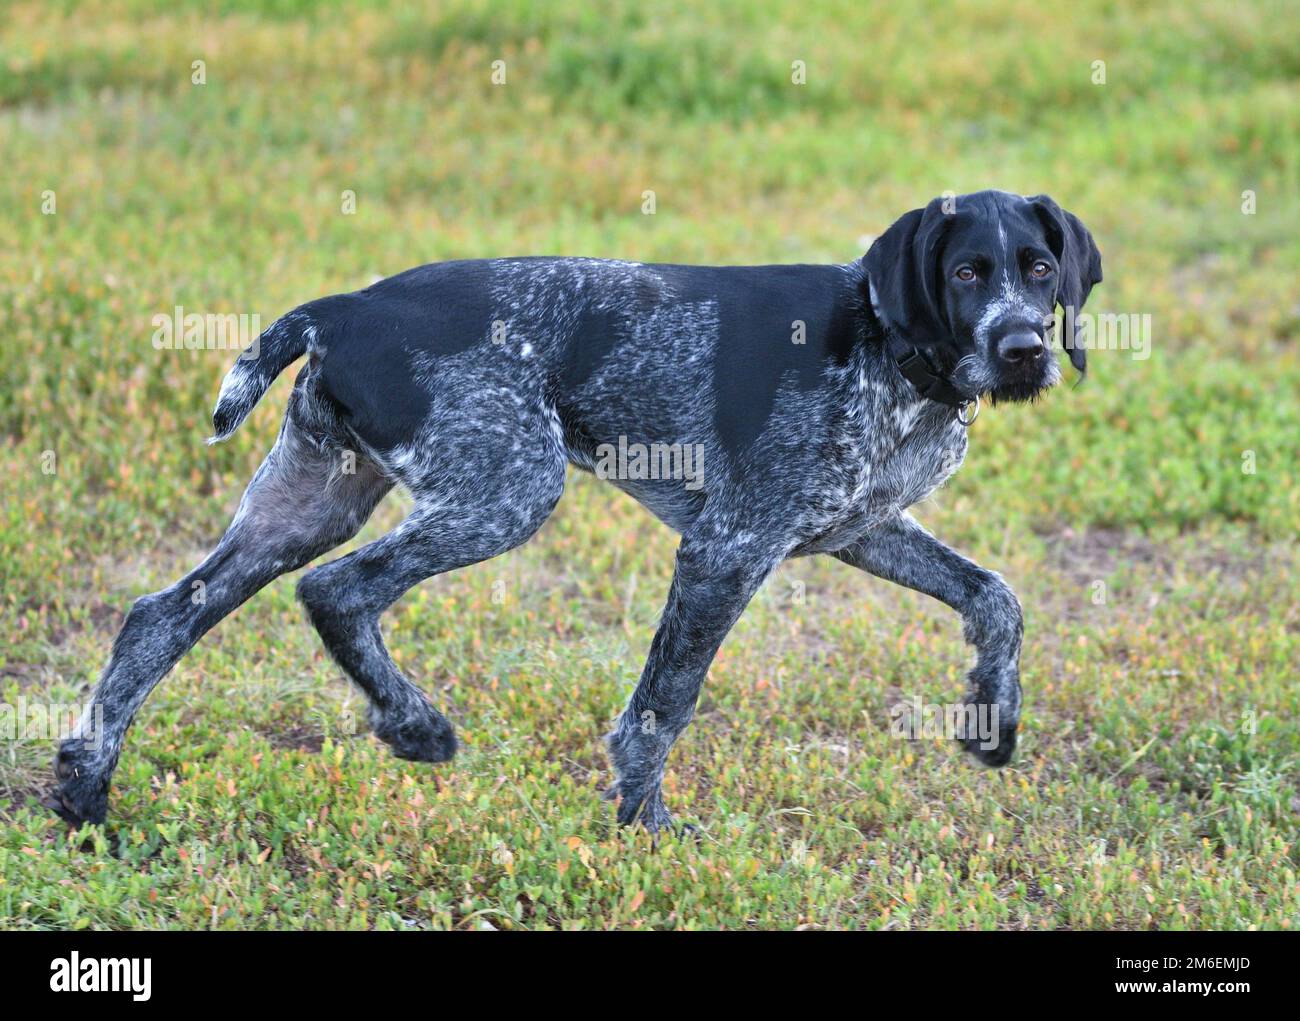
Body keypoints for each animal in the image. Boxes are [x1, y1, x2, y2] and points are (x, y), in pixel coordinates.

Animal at [53, 188, 1107, 827]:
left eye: (1039, 270)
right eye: (968, 272)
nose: (1025, 349)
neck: (895, 349)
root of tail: (346, 305)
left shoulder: (862, 527)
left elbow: (996, 596)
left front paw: (992, 716)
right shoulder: (728, 547)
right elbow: (662, 707)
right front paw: (647, 827)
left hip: (310, 500)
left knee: (158, 618)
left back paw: (84, 789)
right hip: (509, 490)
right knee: (338, 592)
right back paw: (416, 727)